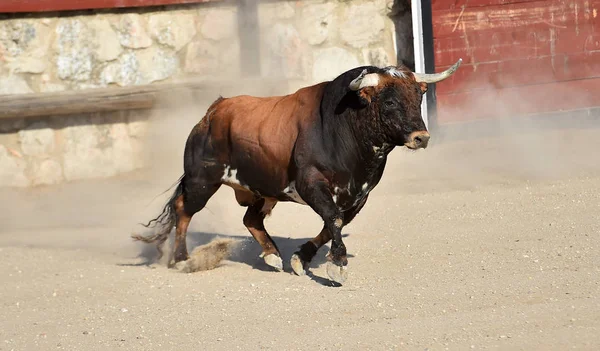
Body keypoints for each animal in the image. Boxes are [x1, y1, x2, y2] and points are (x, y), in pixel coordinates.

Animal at [134, 59, 462, 284]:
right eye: (390, 101)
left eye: (418, 96)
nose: (421, 137)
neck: (345, 129)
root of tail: (212, 112)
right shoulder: (310, 183)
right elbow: (333, 219)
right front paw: (337, 265)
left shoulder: (359, 195)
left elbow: (333, 223)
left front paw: (299, 259)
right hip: (202, 180)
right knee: (184, 210)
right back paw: (181, 259)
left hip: (260, 188)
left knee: (250, 218)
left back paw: (271, 255)